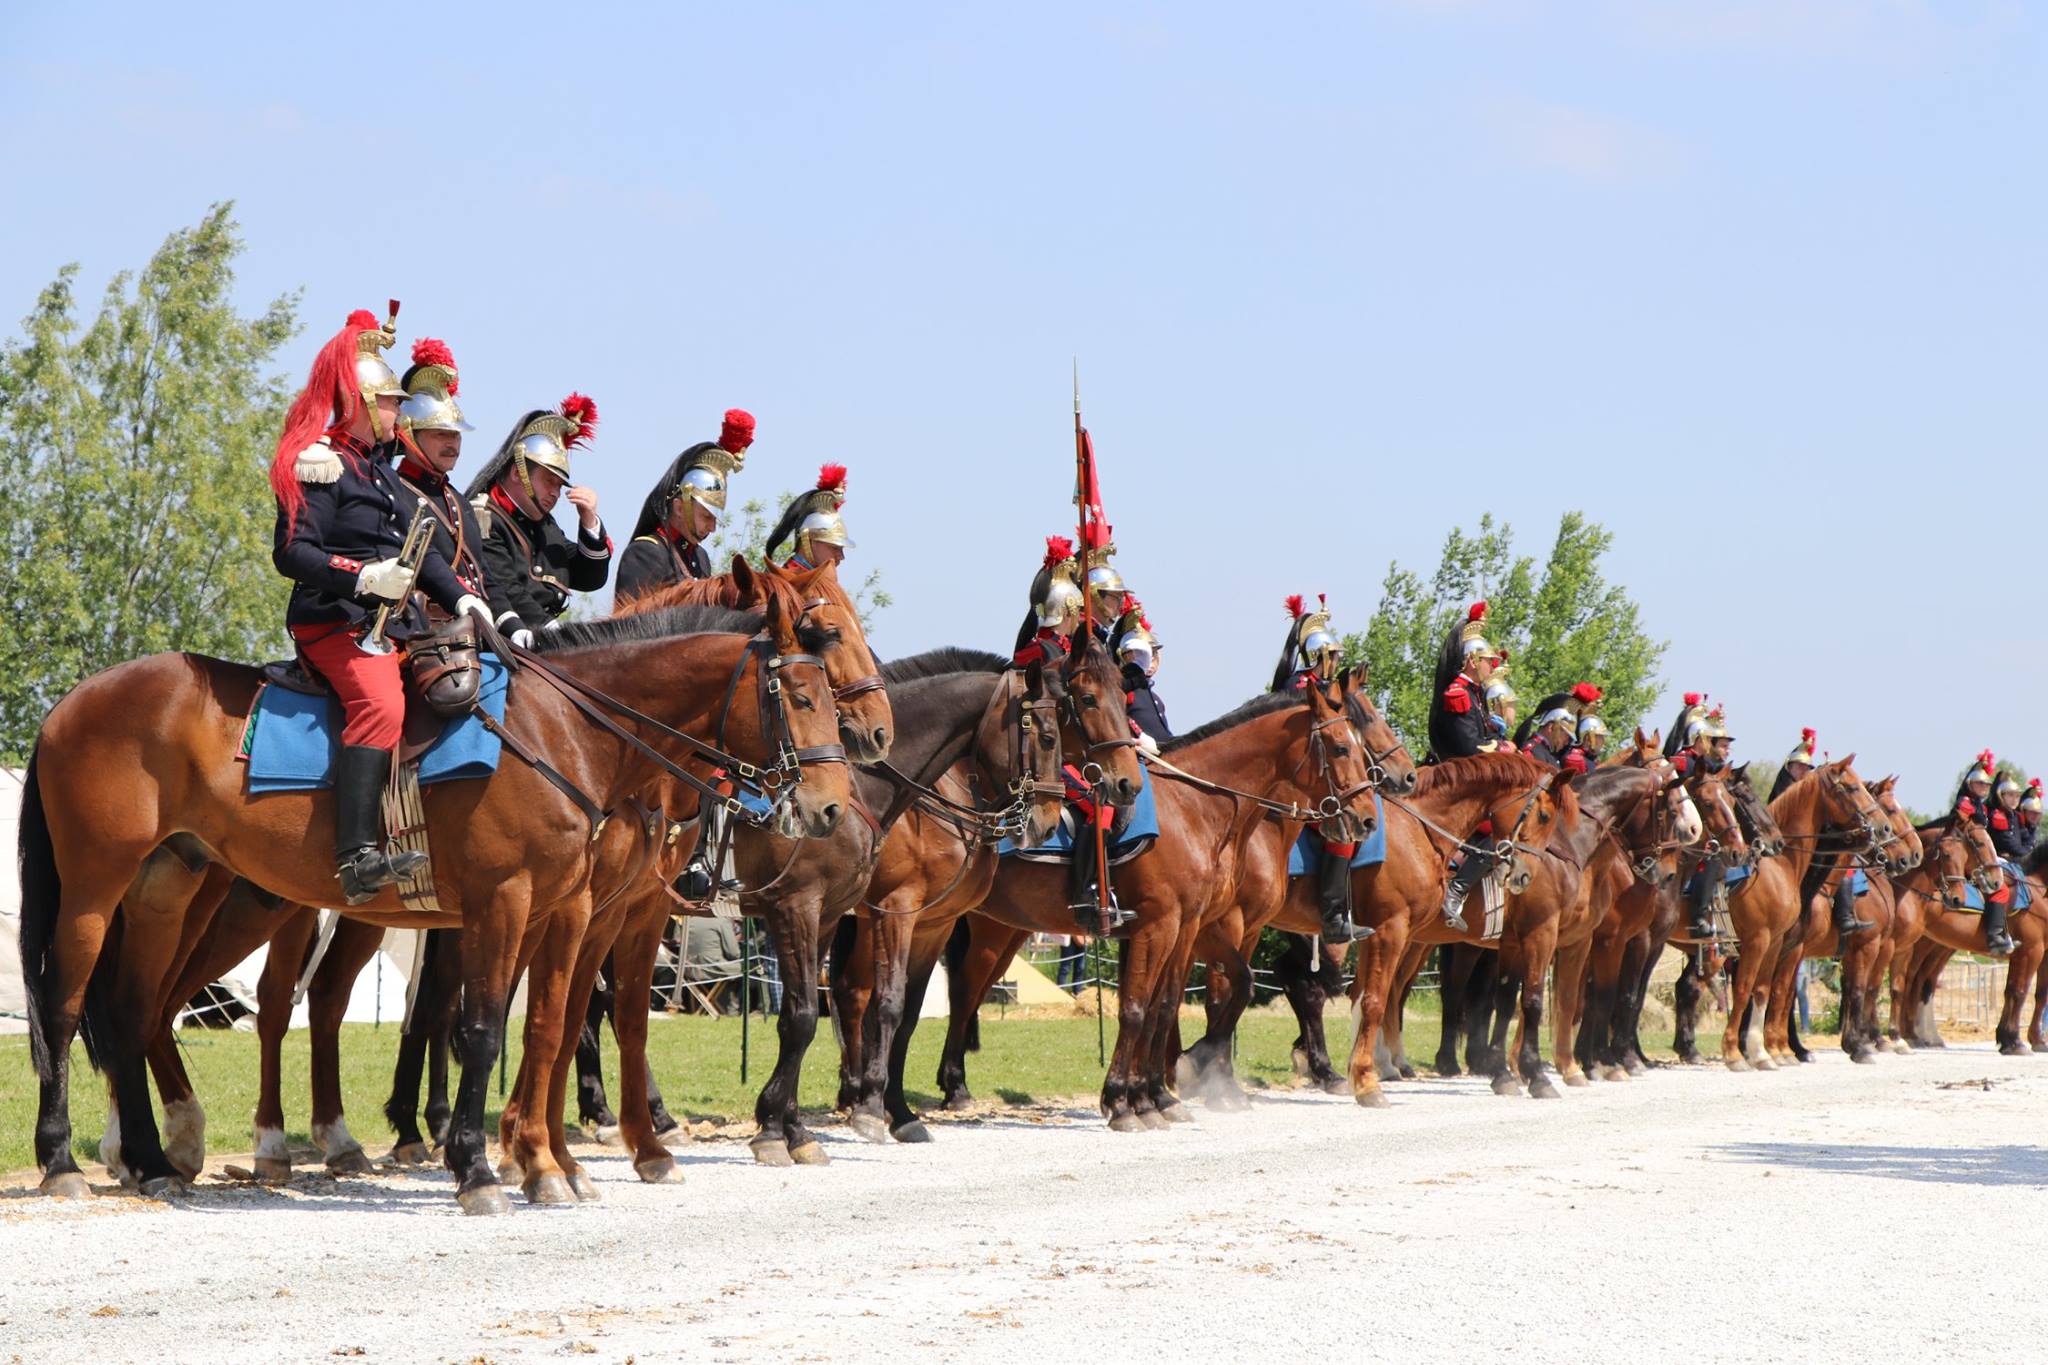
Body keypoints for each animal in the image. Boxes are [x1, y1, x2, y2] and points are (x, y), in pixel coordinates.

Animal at [18, 597, 847, 1203]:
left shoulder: (560, 910)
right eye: (802, 695)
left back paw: (155, 1158)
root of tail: (68, 705)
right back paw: (69, 1160)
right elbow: (482, 1029)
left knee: (134, 1009)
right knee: (70, 1006)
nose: (831, 808)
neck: (562, 731)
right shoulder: (511, 903)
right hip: (105, 891)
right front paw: (482, 1166)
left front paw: (546, 1163)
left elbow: (547, 1026)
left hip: (168, 887)